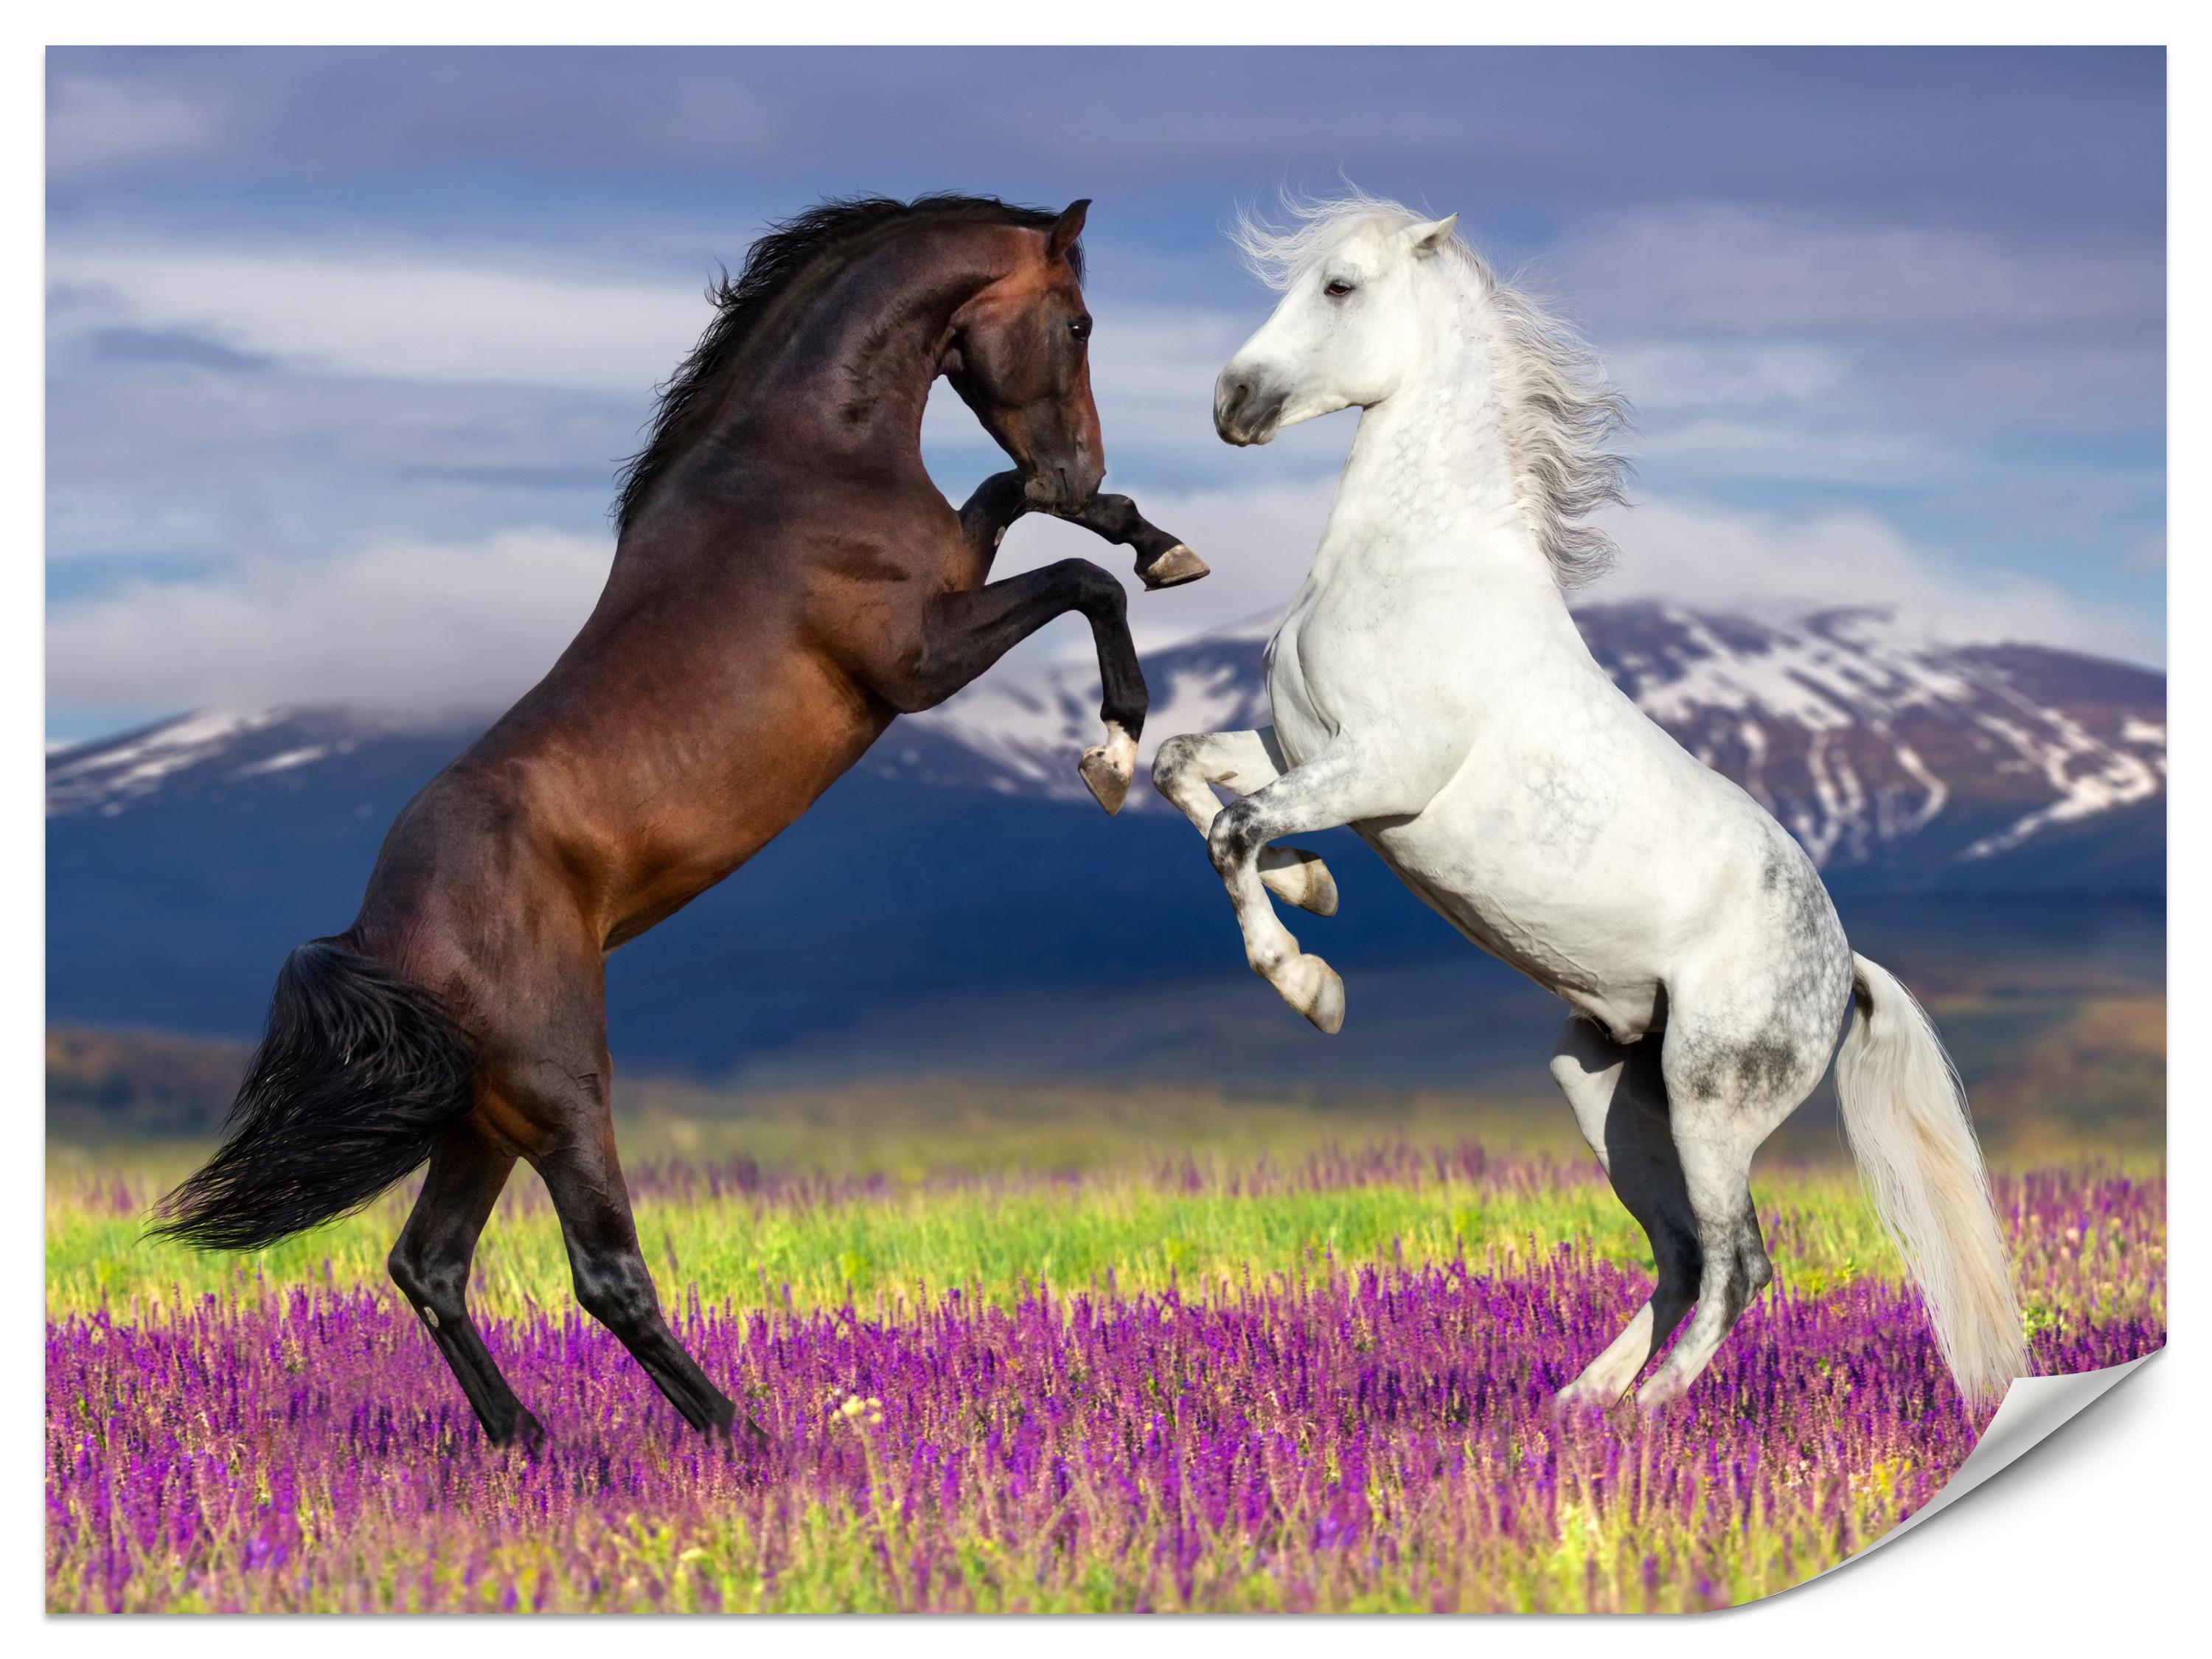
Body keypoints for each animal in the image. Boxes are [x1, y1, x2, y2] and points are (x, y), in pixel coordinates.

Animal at [152, 193, 1210, 1451]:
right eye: (1081, 322)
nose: (1078, 457)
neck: (804, 464)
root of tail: (376, 933)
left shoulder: (958, 569)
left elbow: (1028, 518)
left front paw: (1155, 538)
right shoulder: (918, 660)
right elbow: (1081, 584)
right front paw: (1115, 745)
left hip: (486, 1116)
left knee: (430, 1263)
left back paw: (527, 1440)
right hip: (565, 1090)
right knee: (602, 1273)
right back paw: (743, 1433)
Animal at [1152, 189, 2024, 1410]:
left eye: (1340, 286)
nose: (1234, 403)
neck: (1420, 564)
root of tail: (1843, 967)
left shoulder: (1382, 770)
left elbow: (1236, 827)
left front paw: (1309, 983)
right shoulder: (1300, 745)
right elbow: (1184, 766)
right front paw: (1314, 886)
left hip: (1713, 1103)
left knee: (1741, 1259)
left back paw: (1652, 1412)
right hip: (1606, 1086)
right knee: (1680, 1252)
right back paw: (1582, 1406)